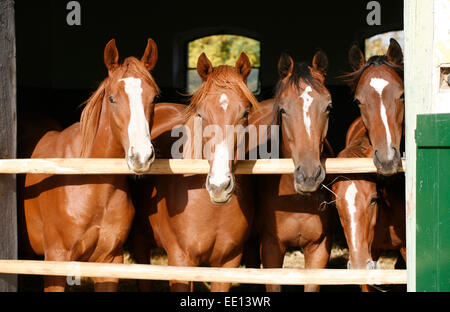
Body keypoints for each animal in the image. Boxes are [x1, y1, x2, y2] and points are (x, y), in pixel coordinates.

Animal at [23, 37, 160, 292]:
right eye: (112, 98)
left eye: (154, 98)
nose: (141, 156)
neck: (91, 182)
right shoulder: (56, 260)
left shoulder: (110, 260)